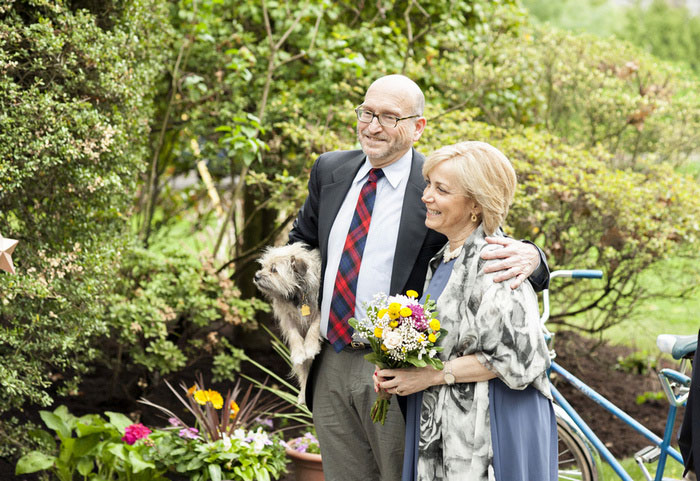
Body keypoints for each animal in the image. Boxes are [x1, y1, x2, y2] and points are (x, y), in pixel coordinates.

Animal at [254, 242, 322, 404]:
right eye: (264, 266)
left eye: (274, 270)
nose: (256, 276)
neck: (298, 293)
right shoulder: (287, 318)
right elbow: (294, 336)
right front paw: (298, 352)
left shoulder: (321, 309)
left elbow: (314, 326)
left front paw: (310, 346)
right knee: (304, 371)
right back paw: (303, 395)